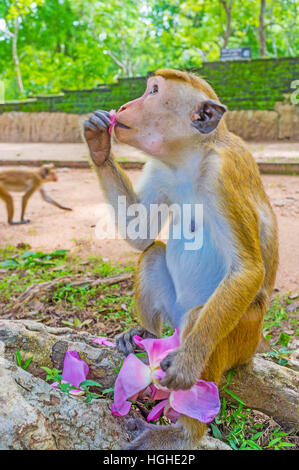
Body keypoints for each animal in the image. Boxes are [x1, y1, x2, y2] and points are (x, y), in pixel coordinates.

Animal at [84, 68, 278, 450]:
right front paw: (98, 143)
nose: (124, 106)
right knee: (154, 255)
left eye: (154, 92)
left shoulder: (223, 175)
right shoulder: (160, 167)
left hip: (243, 336)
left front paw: (187, 365)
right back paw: (145, 333)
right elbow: (141, 234)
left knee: (197, 318)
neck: (190, 157)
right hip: (172, 315)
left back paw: (185, 432)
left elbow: (248, 269)